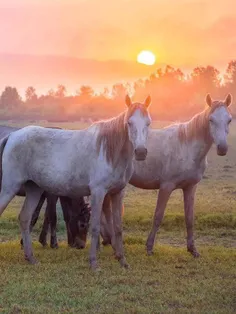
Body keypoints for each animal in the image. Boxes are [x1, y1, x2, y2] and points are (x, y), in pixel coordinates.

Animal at [0, 95, 151, 270]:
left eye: (148, 123)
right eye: (129, 123)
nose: (141, 152)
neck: (110, 151)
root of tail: (12, 136)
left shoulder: (117, 193)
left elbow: (118, 228)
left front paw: (123, 262)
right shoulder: (98, 192)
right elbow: (95, 226)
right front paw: (93, 263)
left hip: (34, 190)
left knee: (24, 218)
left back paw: (31, 258)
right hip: (10, 188)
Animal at [100, 93, 231, 258]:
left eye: (229, 119)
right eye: (211, 120)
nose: (222, 148)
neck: (186, 147)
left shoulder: (190, 188)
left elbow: (189, 218)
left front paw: (193, 249)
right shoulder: (166, 187)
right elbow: (158, 216)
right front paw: (149, 247)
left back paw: (107, 240)